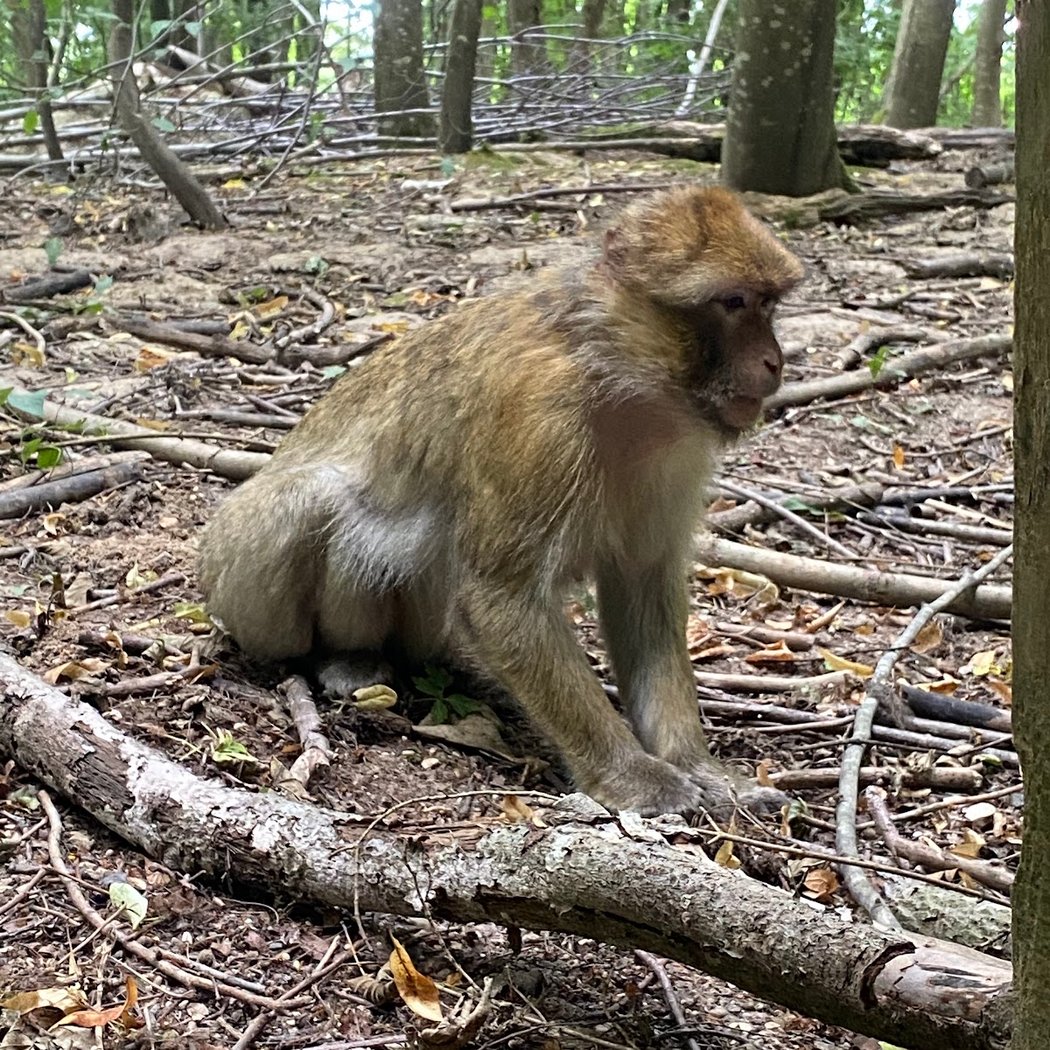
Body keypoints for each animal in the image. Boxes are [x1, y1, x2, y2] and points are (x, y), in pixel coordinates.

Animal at [199, 185, 804, 818]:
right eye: (733, 302)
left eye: (768, 305)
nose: (774, 360)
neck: (614, 367)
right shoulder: (540, 417)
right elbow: (502, 598)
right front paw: (632, 774)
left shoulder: (677, 447)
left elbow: (643, 585)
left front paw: (698, 766)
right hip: (236, 584)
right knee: (317, 504)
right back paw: (346, 657)